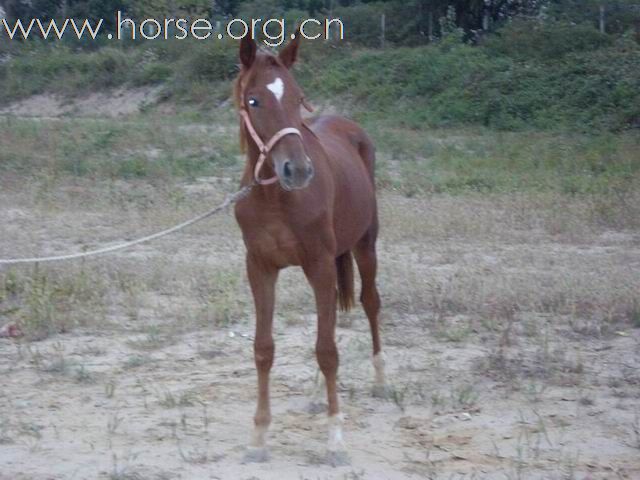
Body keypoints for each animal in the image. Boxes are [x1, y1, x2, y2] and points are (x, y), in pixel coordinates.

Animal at [234, 33, 388, 462]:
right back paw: (318, 393)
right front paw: (258, 436)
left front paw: (335, 438)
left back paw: (380, 380)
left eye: (298, 98)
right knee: (331, 314)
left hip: (365, 245)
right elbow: (264, 348)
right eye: (254, 100)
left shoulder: (318, 263)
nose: (298, 170)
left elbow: (328, 350)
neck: (276, 200)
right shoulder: (259, 267)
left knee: (370, 303)